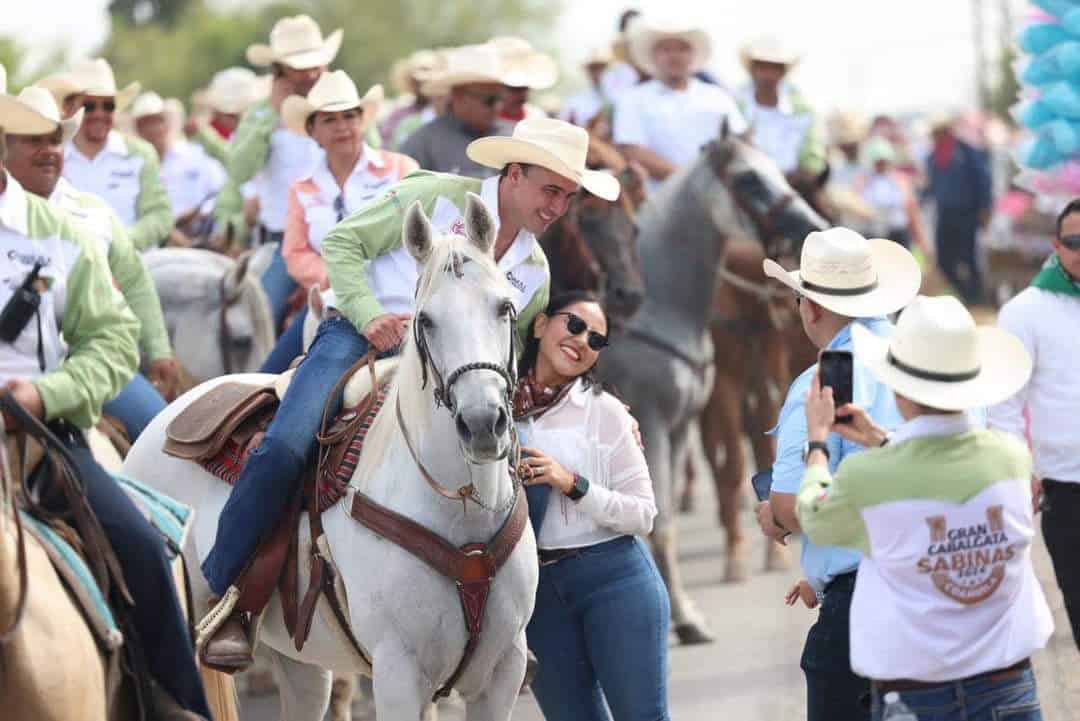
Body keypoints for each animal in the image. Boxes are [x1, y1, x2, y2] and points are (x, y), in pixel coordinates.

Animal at [600, 124, 825, 643]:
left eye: (776, 170)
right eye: (748, 179)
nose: (811, 227)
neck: (656, 308)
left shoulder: (682, 425)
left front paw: (684, 616)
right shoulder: (652, 422)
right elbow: (660, 519)